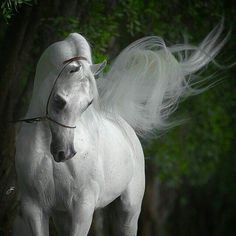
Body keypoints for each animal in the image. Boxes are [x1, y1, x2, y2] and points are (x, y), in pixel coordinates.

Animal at [13, 22, 227, 236]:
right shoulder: (35, 209)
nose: (64, 152)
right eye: (59, 100)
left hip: (128, 211)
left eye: (88, 103)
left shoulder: (82, 209)